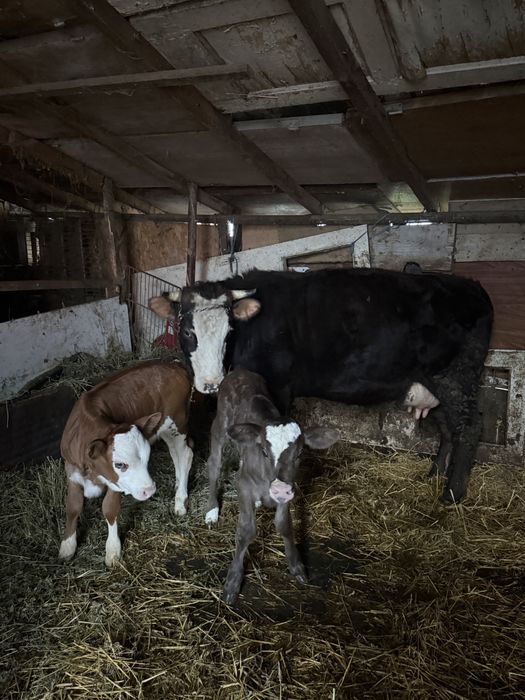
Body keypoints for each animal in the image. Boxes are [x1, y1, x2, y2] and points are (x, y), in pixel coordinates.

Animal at [58, 361, 193, 567]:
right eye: (120, 464)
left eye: (147, 458)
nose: (150, 490)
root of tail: (174, 365)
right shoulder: (71, 470)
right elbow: (73, 507)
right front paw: (67, 546)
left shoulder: (115, 483)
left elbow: (109, 509)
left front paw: (112, 550)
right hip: (166, 429)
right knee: (176, 455)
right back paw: (178, 485)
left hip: (177, 423)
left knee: (185, 455)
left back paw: (180, 501)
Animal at [149, 267, 493, 503]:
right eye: (187, 331)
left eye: (229, 330)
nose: (211, 383)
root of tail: (469, 285)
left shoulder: (279, 386)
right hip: (434, 384)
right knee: (448, 430)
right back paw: (434, 475)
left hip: (456, 376)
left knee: (469, 428)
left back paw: (451, 493)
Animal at [206, 368, 339, 603]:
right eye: (264, 452)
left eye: (300, 453)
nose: (278, 488)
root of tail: (238, 371)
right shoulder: (244, 486)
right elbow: (246, 531)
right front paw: (233, 580)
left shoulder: (288, 489)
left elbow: (284, 525)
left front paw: (296, 565)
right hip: (220, 424)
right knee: (214, 464)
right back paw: (212, 510)